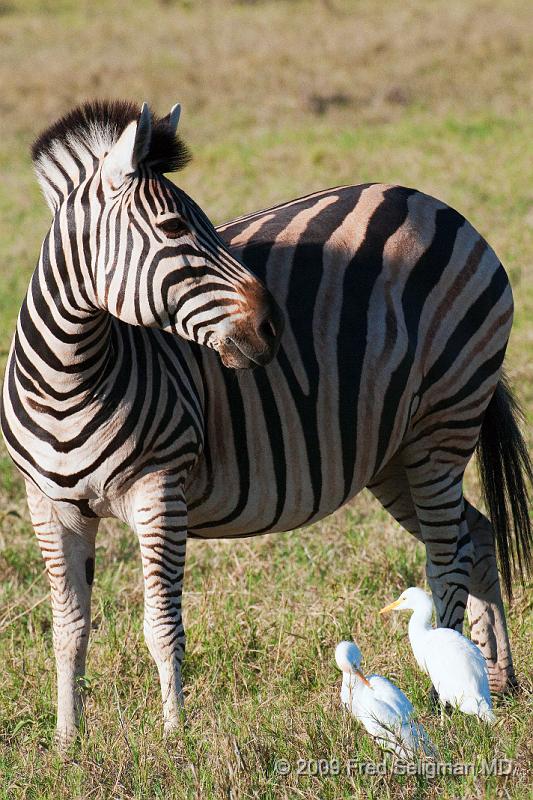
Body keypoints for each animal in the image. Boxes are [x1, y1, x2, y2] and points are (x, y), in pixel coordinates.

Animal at [0, 98, 528, 744]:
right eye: (174, 229)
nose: (273, 328)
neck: (69, 376)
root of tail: (438, 207)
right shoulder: (49, 505)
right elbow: (69, 629)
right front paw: (67, 741)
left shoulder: (160, 488)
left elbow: (161, 624)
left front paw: (174, 738)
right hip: (396, 452)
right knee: (476, 537)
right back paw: (496, 680)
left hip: (442, 424)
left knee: (447, 558)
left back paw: (436, 697)